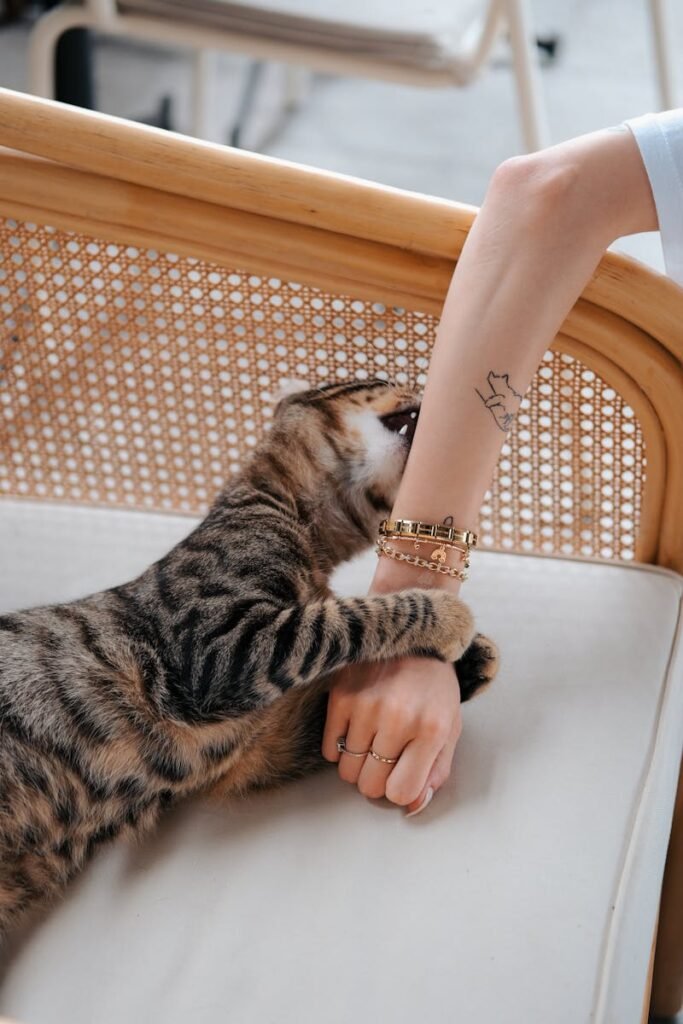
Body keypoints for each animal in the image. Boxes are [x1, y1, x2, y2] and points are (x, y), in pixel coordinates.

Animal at [0, 380, 497, 933]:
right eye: (378, 380)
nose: (418, 382)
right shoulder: (216, 649)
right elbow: (342, 619)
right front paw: (447, 618)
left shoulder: (262, 743)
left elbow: (331, 710)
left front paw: (470, 666)